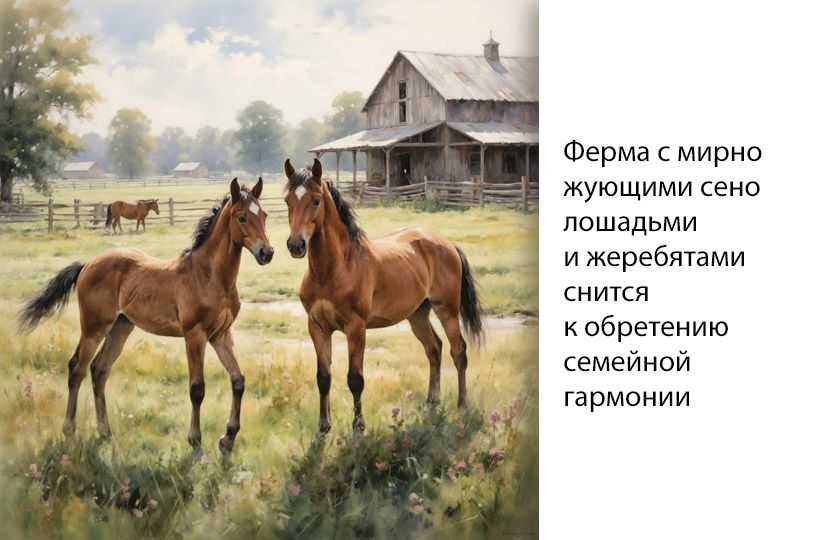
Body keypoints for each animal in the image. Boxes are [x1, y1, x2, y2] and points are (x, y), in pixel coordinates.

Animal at [19, 178, 275, 453]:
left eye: (264, 215)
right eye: (242, 217)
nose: (266, 252)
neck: (209, 276)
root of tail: (87, 264)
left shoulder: (221, 335)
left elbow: (238, 380)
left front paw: (228, 438)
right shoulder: (194, 335)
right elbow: (197, 388)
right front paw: (196, 444)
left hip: (121, 327)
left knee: (99, 369)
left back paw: (105, 433)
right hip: (94, 327)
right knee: (77, 368)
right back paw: (69, 432)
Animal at [283, 158, 484, 434]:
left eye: (315, 200)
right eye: (287, 201)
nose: (296, 245)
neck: (333, 270)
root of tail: (447, 243)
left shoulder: (356, 328)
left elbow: (355, 379)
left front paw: (358, 427)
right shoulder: (317, 327)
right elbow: (323, 377)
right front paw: (323, 426)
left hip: (447, 310)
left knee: (459, 351)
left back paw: (462, 404)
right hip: (417, 315)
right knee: (434, 349)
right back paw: (432, 402)